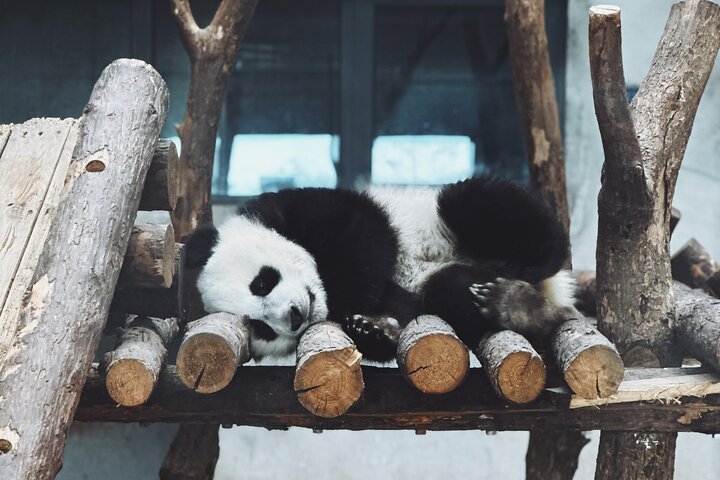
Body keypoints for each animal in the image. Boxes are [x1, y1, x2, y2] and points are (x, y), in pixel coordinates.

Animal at [185, 176, 575, 362]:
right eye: (263, 329)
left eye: (262, 282)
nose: (295, 316)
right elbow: (400, 310)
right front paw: (371, 329)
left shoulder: (305, 207)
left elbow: (362, 238)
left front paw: (353, 300)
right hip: (451, 281)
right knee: (450, 291)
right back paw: (516, 307)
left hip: (444, 217)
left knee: (480, 205)